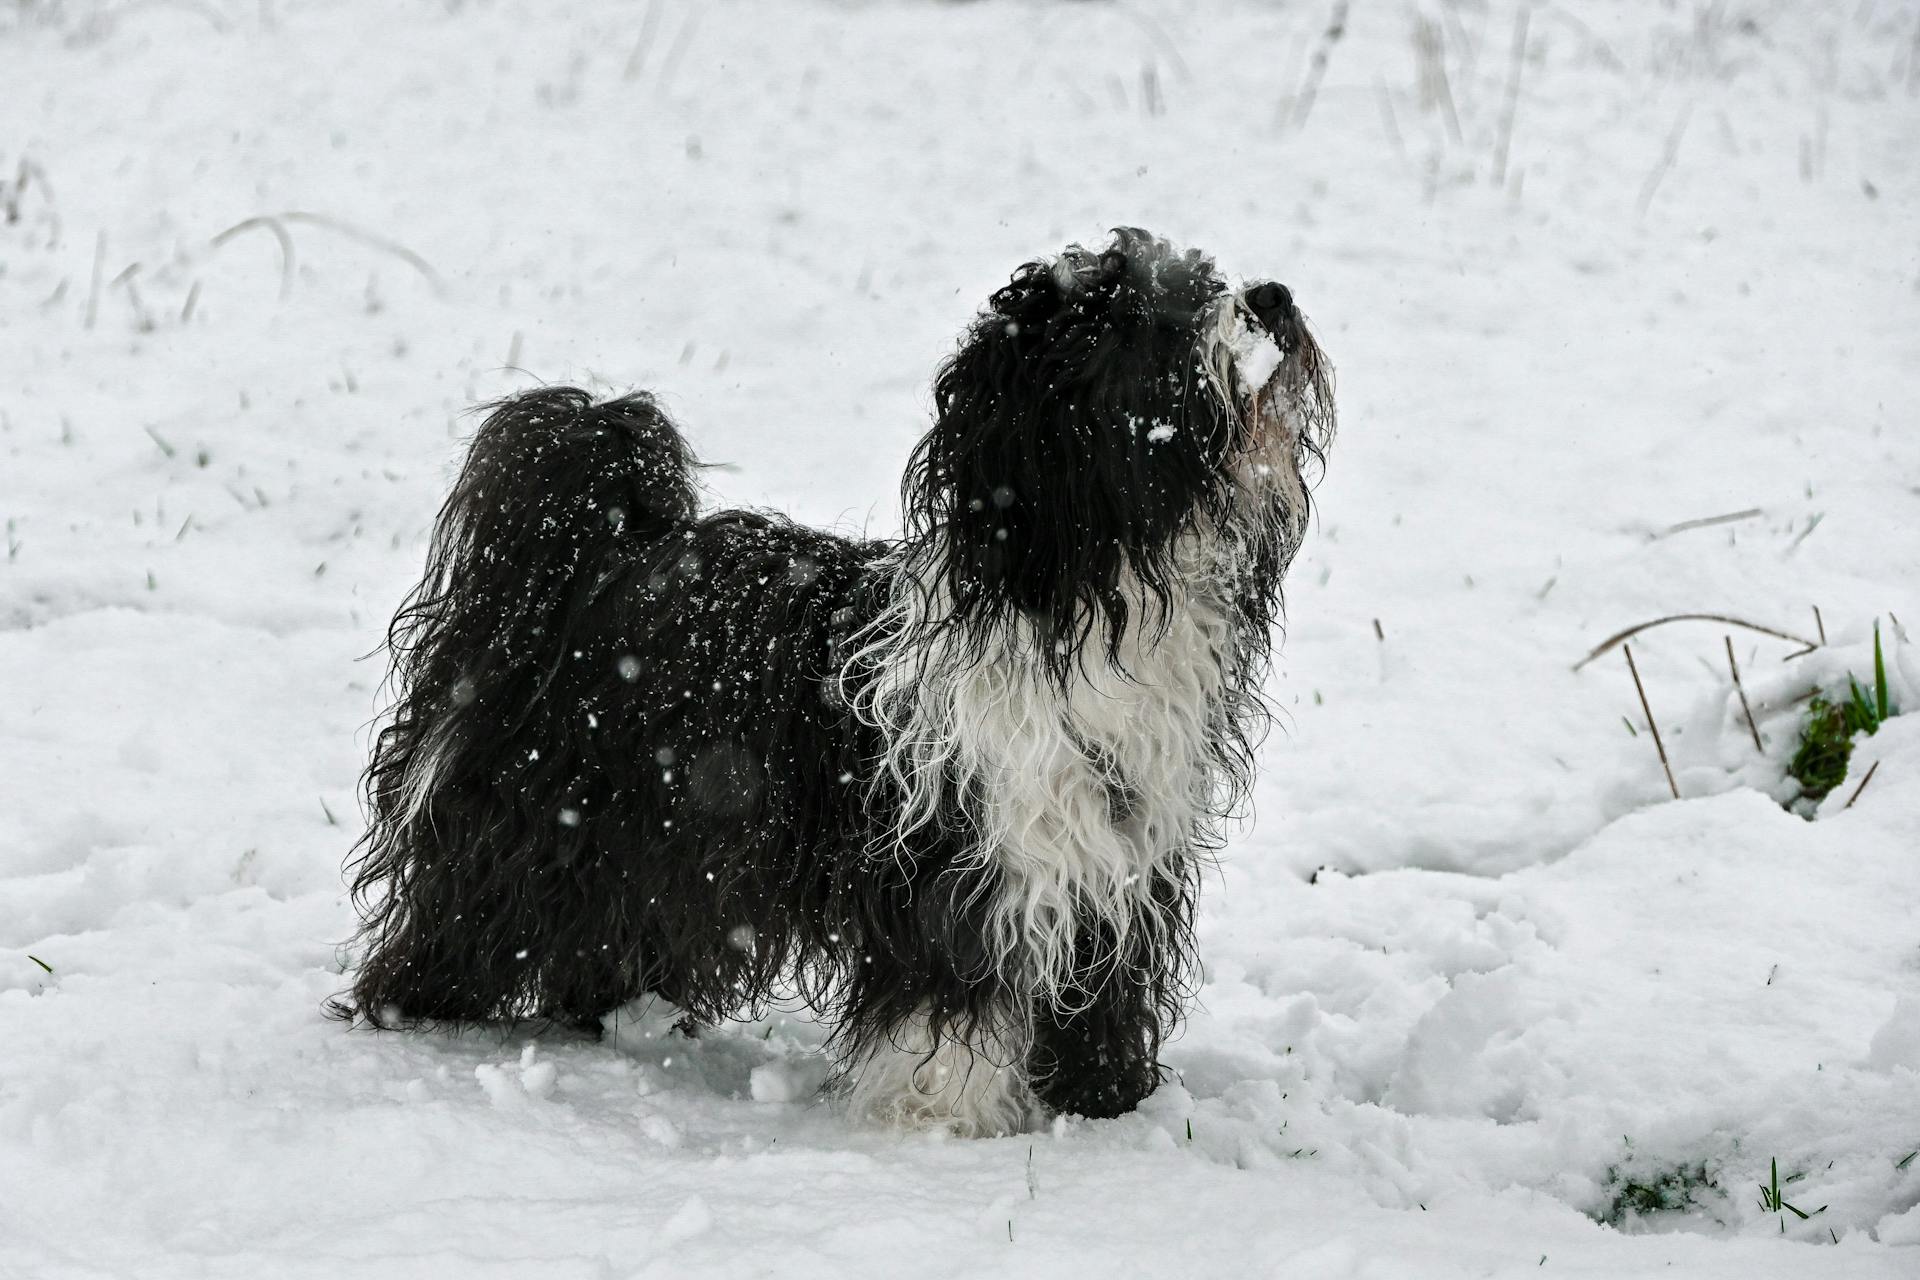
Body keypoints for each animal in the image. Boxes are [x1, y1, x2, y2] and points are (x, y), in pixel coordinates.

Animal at [341, 225, 1336, 1136]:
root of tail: (605, 547)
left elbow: (1103, 991)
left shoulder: (1122, 864)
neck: (1083, 601)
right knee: (471, 911)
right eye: (1137, 319)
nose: (1276, 298)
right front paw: (944, 1121)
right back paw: (417, 1012)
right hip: (545, 818)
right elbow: (952, 993)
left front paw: (1105, 1106)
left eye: (1199, 280)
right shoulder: (960, 853)